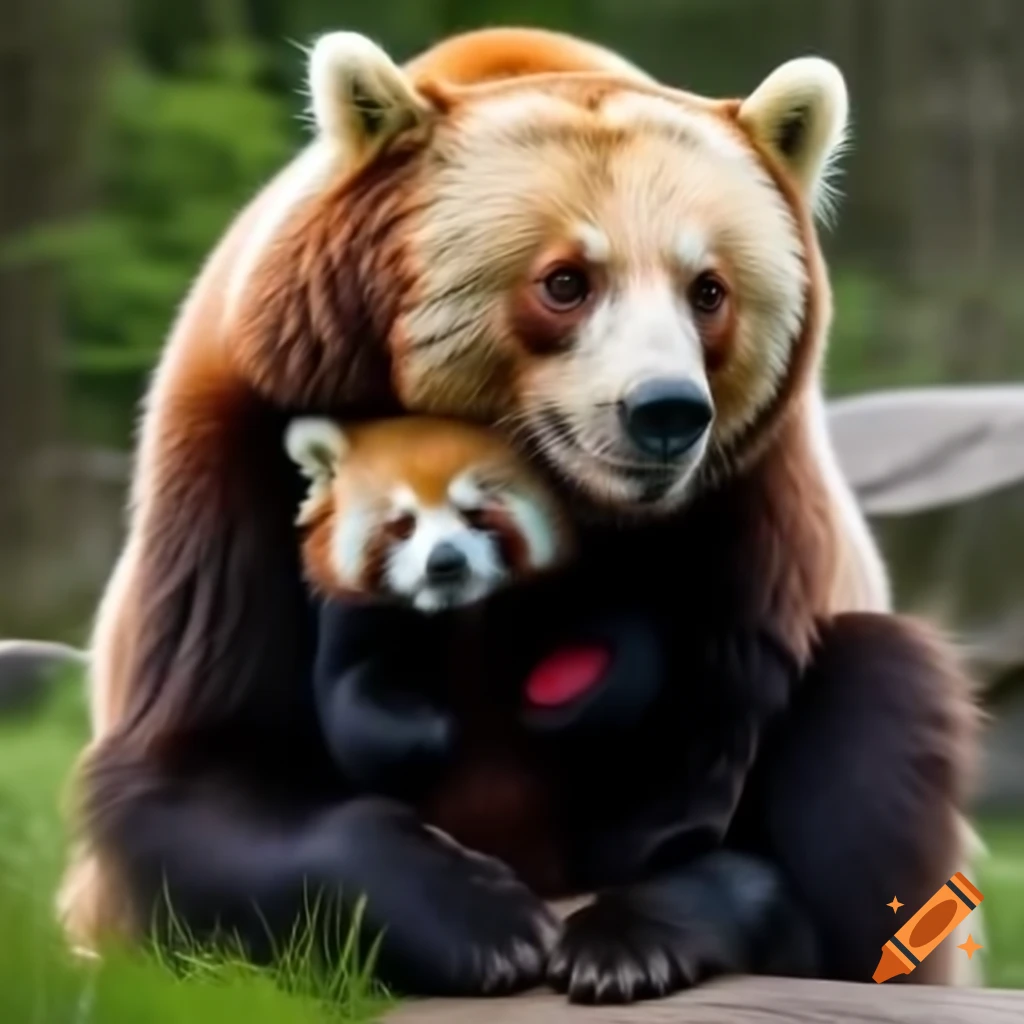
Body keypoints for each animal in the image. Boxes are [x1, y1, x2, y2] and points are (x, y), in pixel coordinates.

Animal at [57, 26, 979, 1004]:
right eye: (566, 282)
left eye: (709, 289)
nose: (664, 412)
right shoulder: (243, 440)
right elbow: (197, 767)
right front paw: (474, 918)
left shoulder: (750, 498)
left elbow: (711, 743)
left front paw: (637, 931)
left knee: (875, 707)